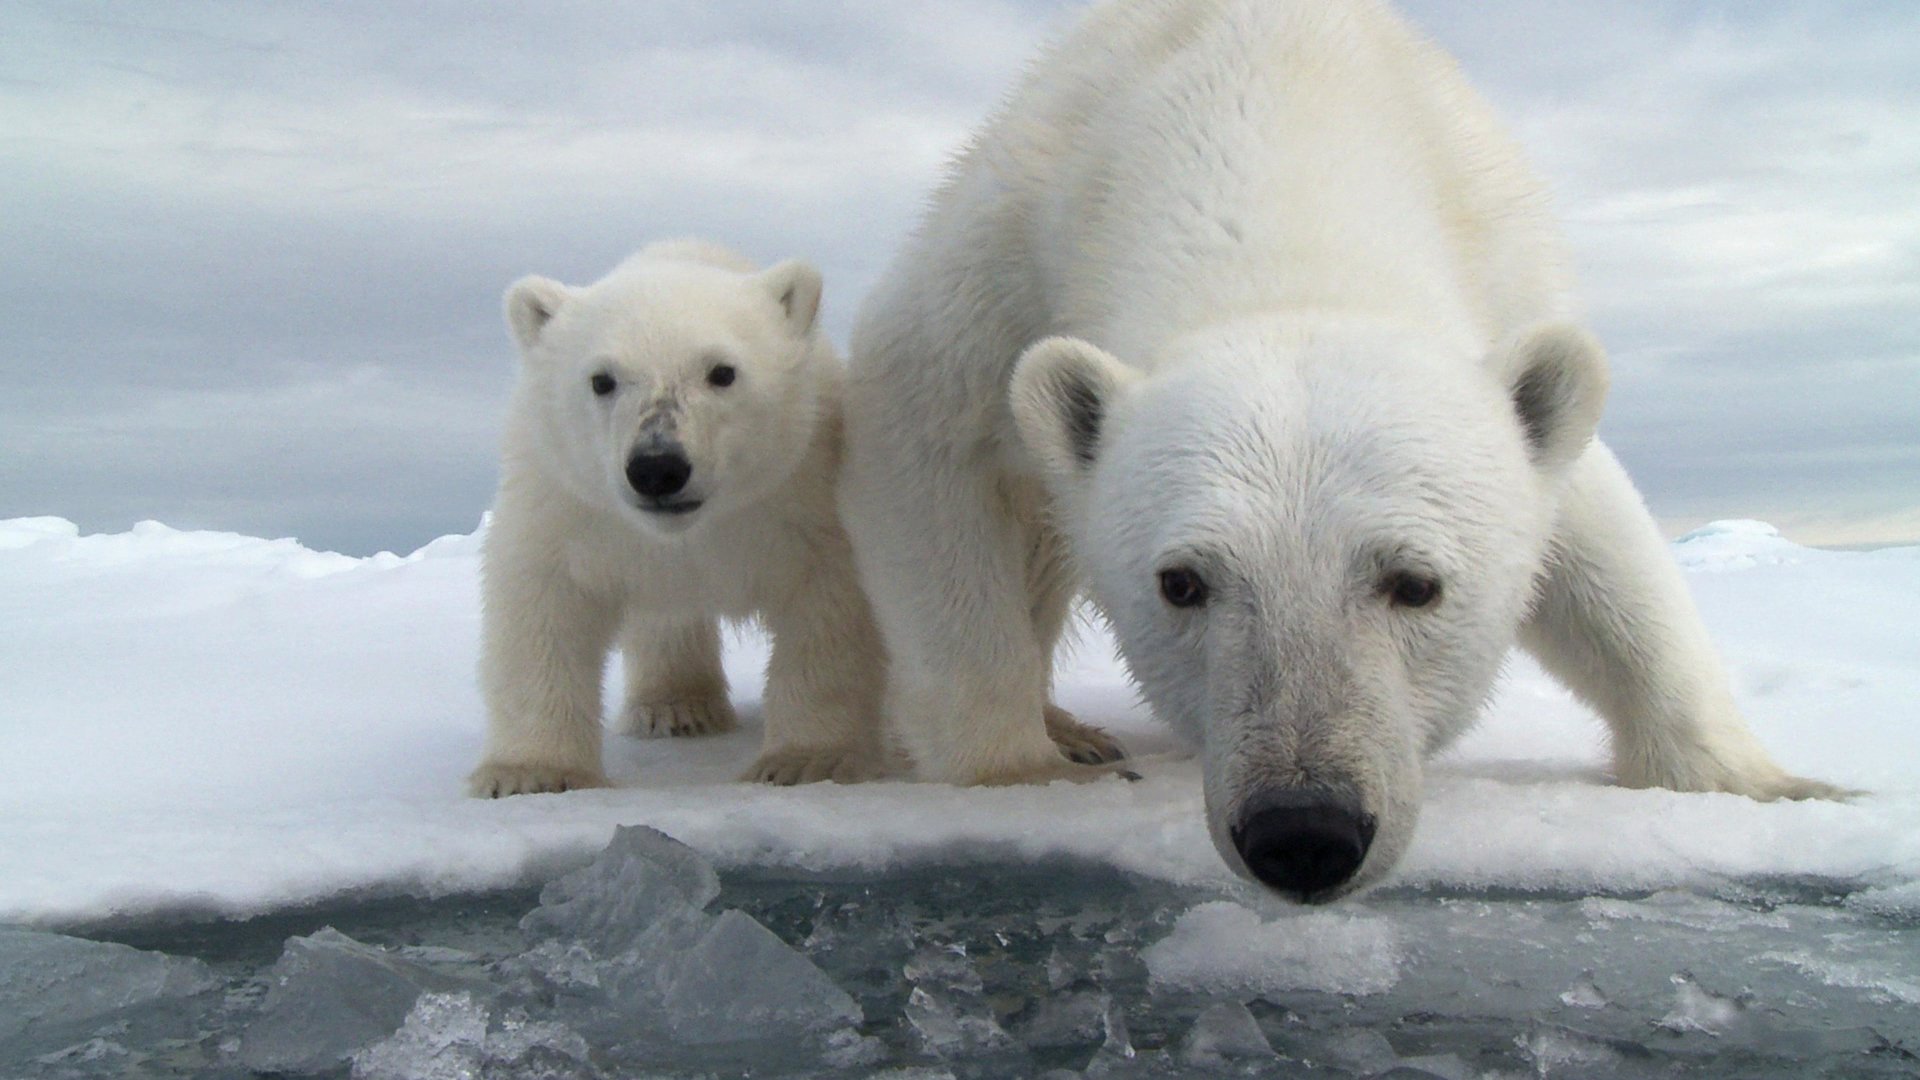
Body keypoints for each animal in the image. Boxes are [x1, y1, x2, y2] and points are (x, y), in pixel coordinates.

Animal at [844, 0, 1843, 895]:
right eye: (1182, 582)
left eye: (1416, 581)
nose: (1303, 832)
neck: (1278, 102)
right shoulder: (1010, 251)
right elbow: (924, 438)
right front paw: (1020, 770)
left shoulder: (1502, 279)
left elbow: (1601, 543)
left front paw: (1771, 785)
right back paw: (1072, 732)